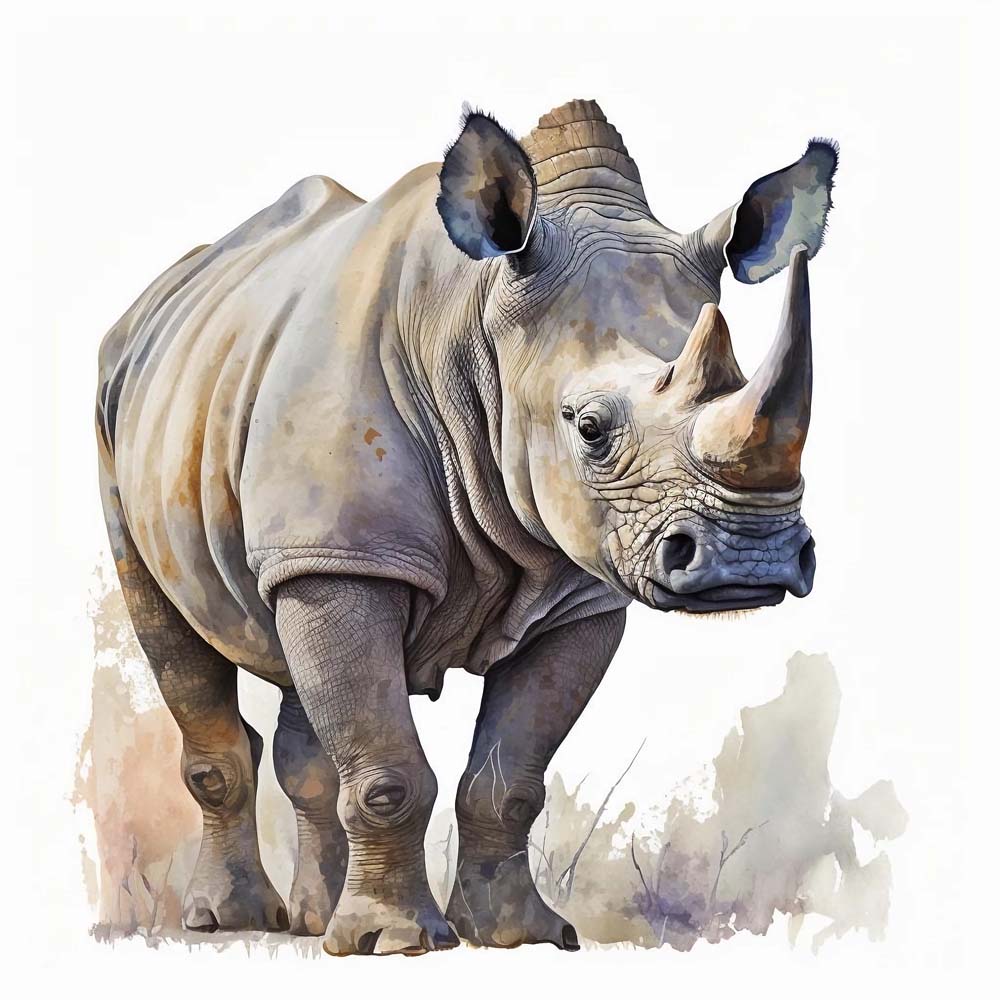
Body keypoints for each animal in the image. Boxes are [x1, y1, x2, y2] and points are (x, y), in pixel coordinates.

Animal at [95, 99, 836, 955]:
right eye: (589, 428)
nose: (751, 561)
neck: (474, 330)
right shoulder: (350, 552)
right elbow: (387, 771)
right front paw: (394, 944)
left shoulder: (575, 590)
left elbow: (509, 780)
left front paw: (520, 936)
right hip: (120, 418)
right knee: (169, 622)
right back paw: (232, 922)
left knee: (291, 646)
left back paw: (314, 922)